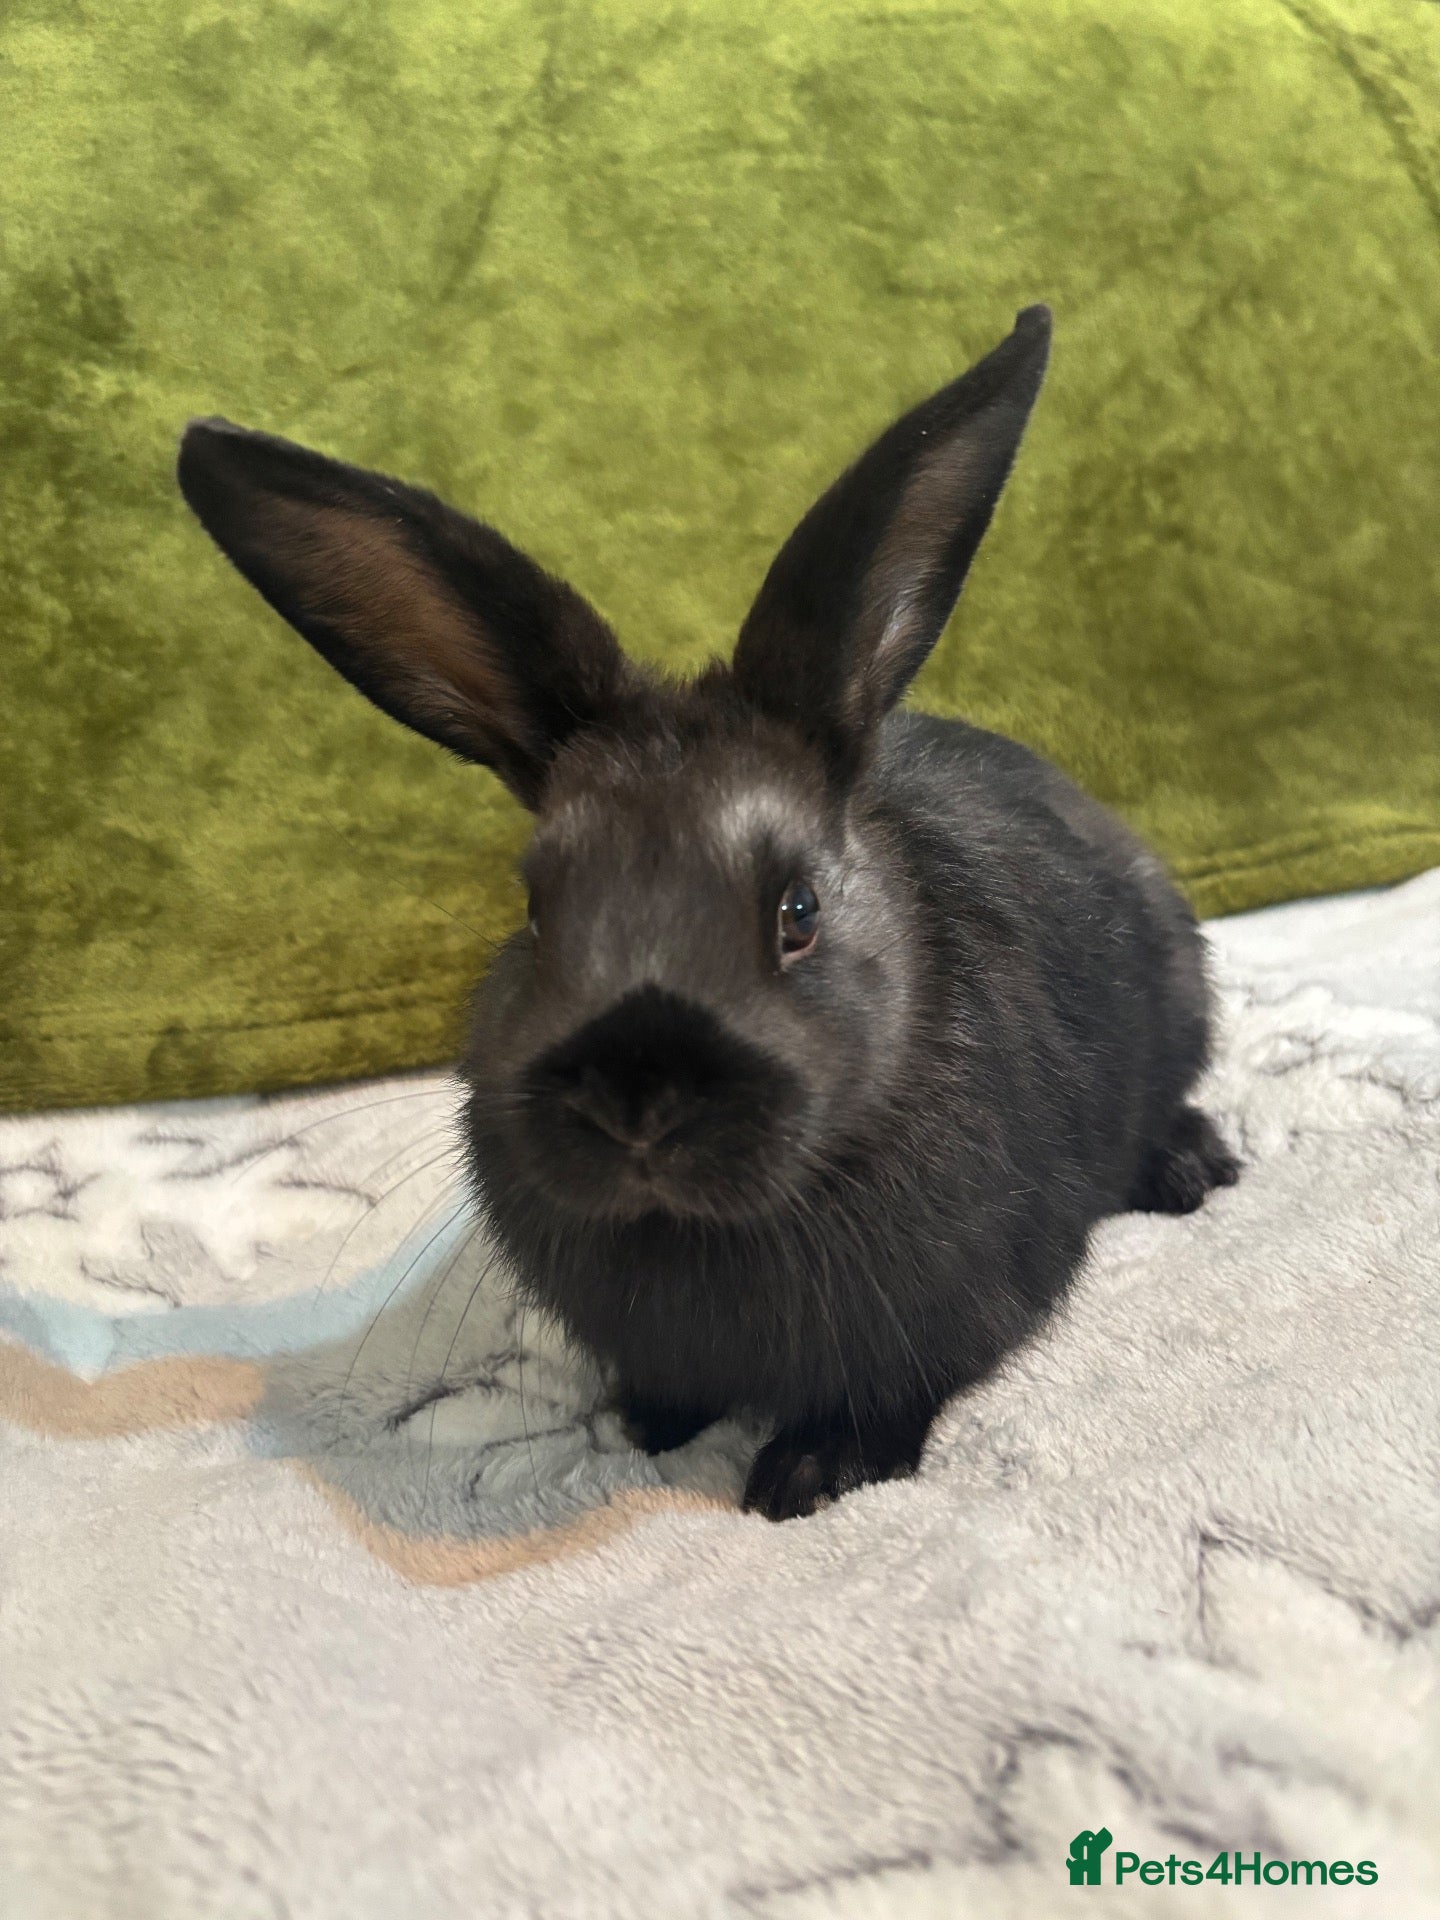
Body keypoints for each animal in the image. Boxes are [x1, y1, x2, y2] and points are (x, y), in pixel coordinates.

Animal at [177, 304, 1238, 1521]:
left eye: (798, 910)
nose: (637, 1101)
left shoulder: (949, 1318)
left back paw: (1190, 1169)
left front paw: (808, 1477)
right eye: (534, 906)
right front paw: (649, 1425)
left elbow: (895, 1393)